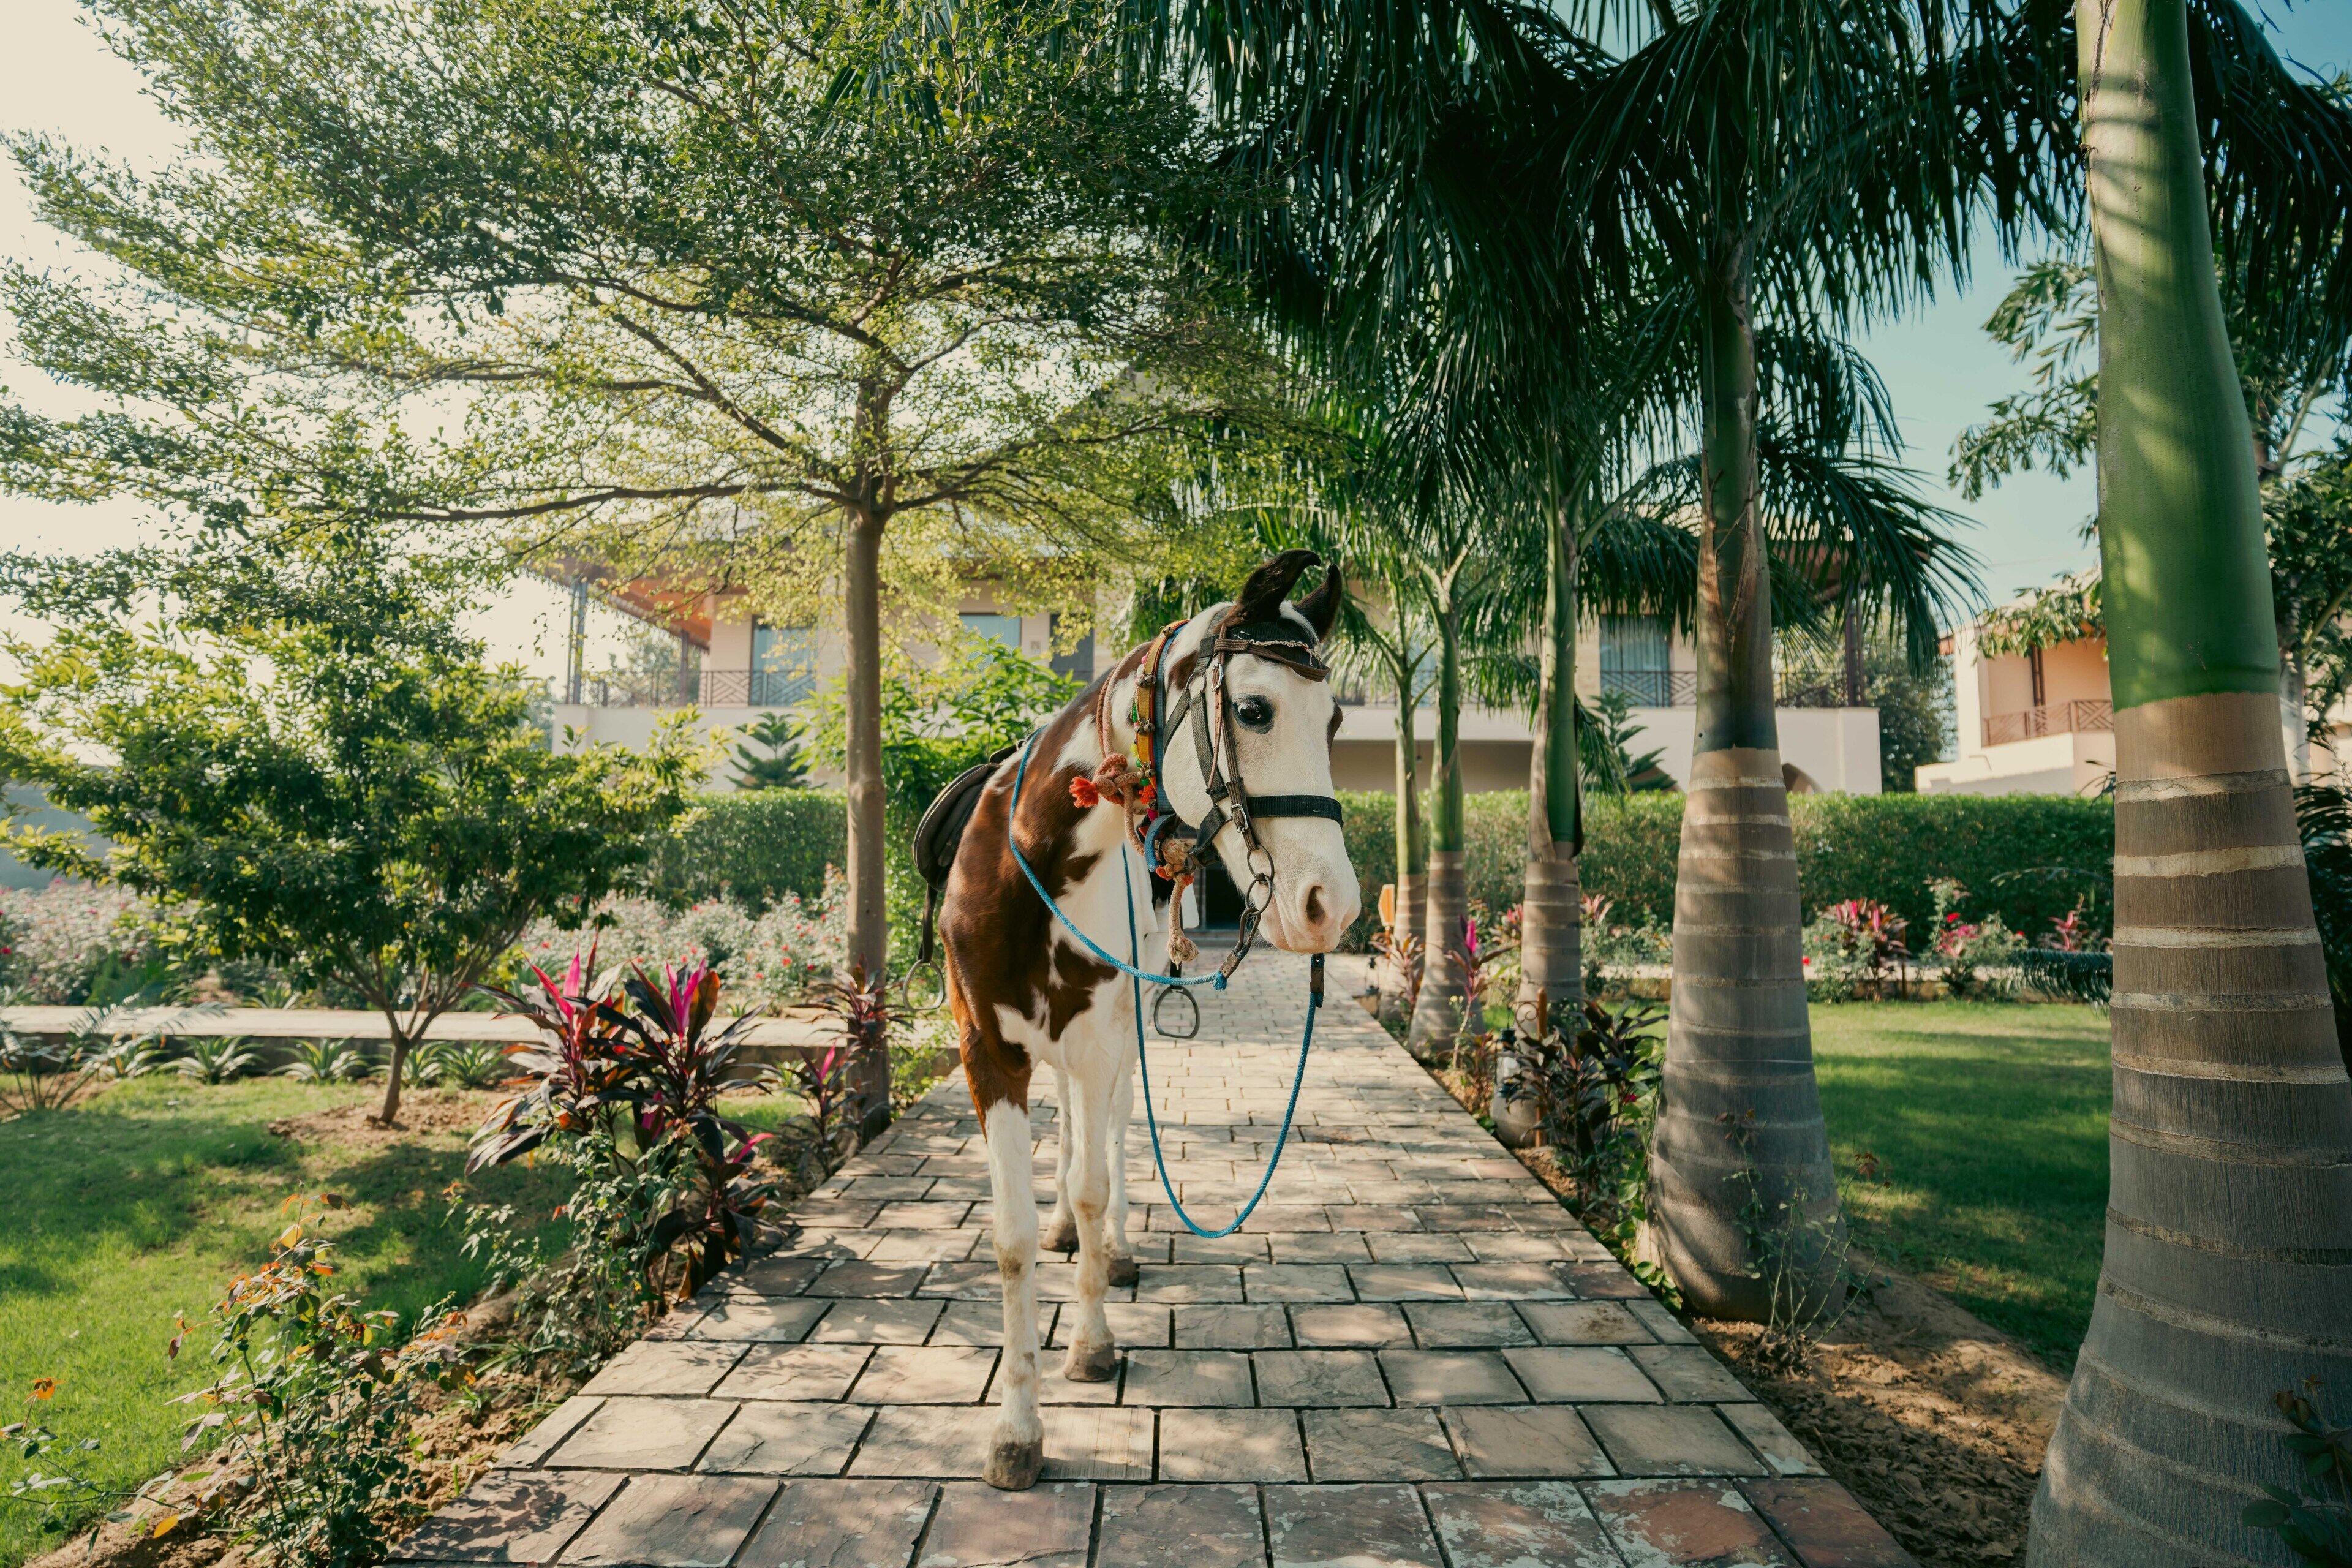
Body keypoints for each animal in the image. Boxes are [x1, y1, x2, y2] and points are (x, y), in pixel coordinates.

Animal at [929, 548, 1362, 1490]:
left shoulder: (1100, 1046)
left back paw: (1114, 1247)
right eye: (1254, 709)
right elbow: (1012, 1239)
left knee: (1116, 1134)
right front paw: (1016, 1426)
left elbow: (1098, 1182)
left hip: (1120, 1037)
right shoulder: (989, 1056)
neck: (1034, 873)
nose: (1333, 906)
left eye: (1337, 719)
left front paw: (1090, 1340)